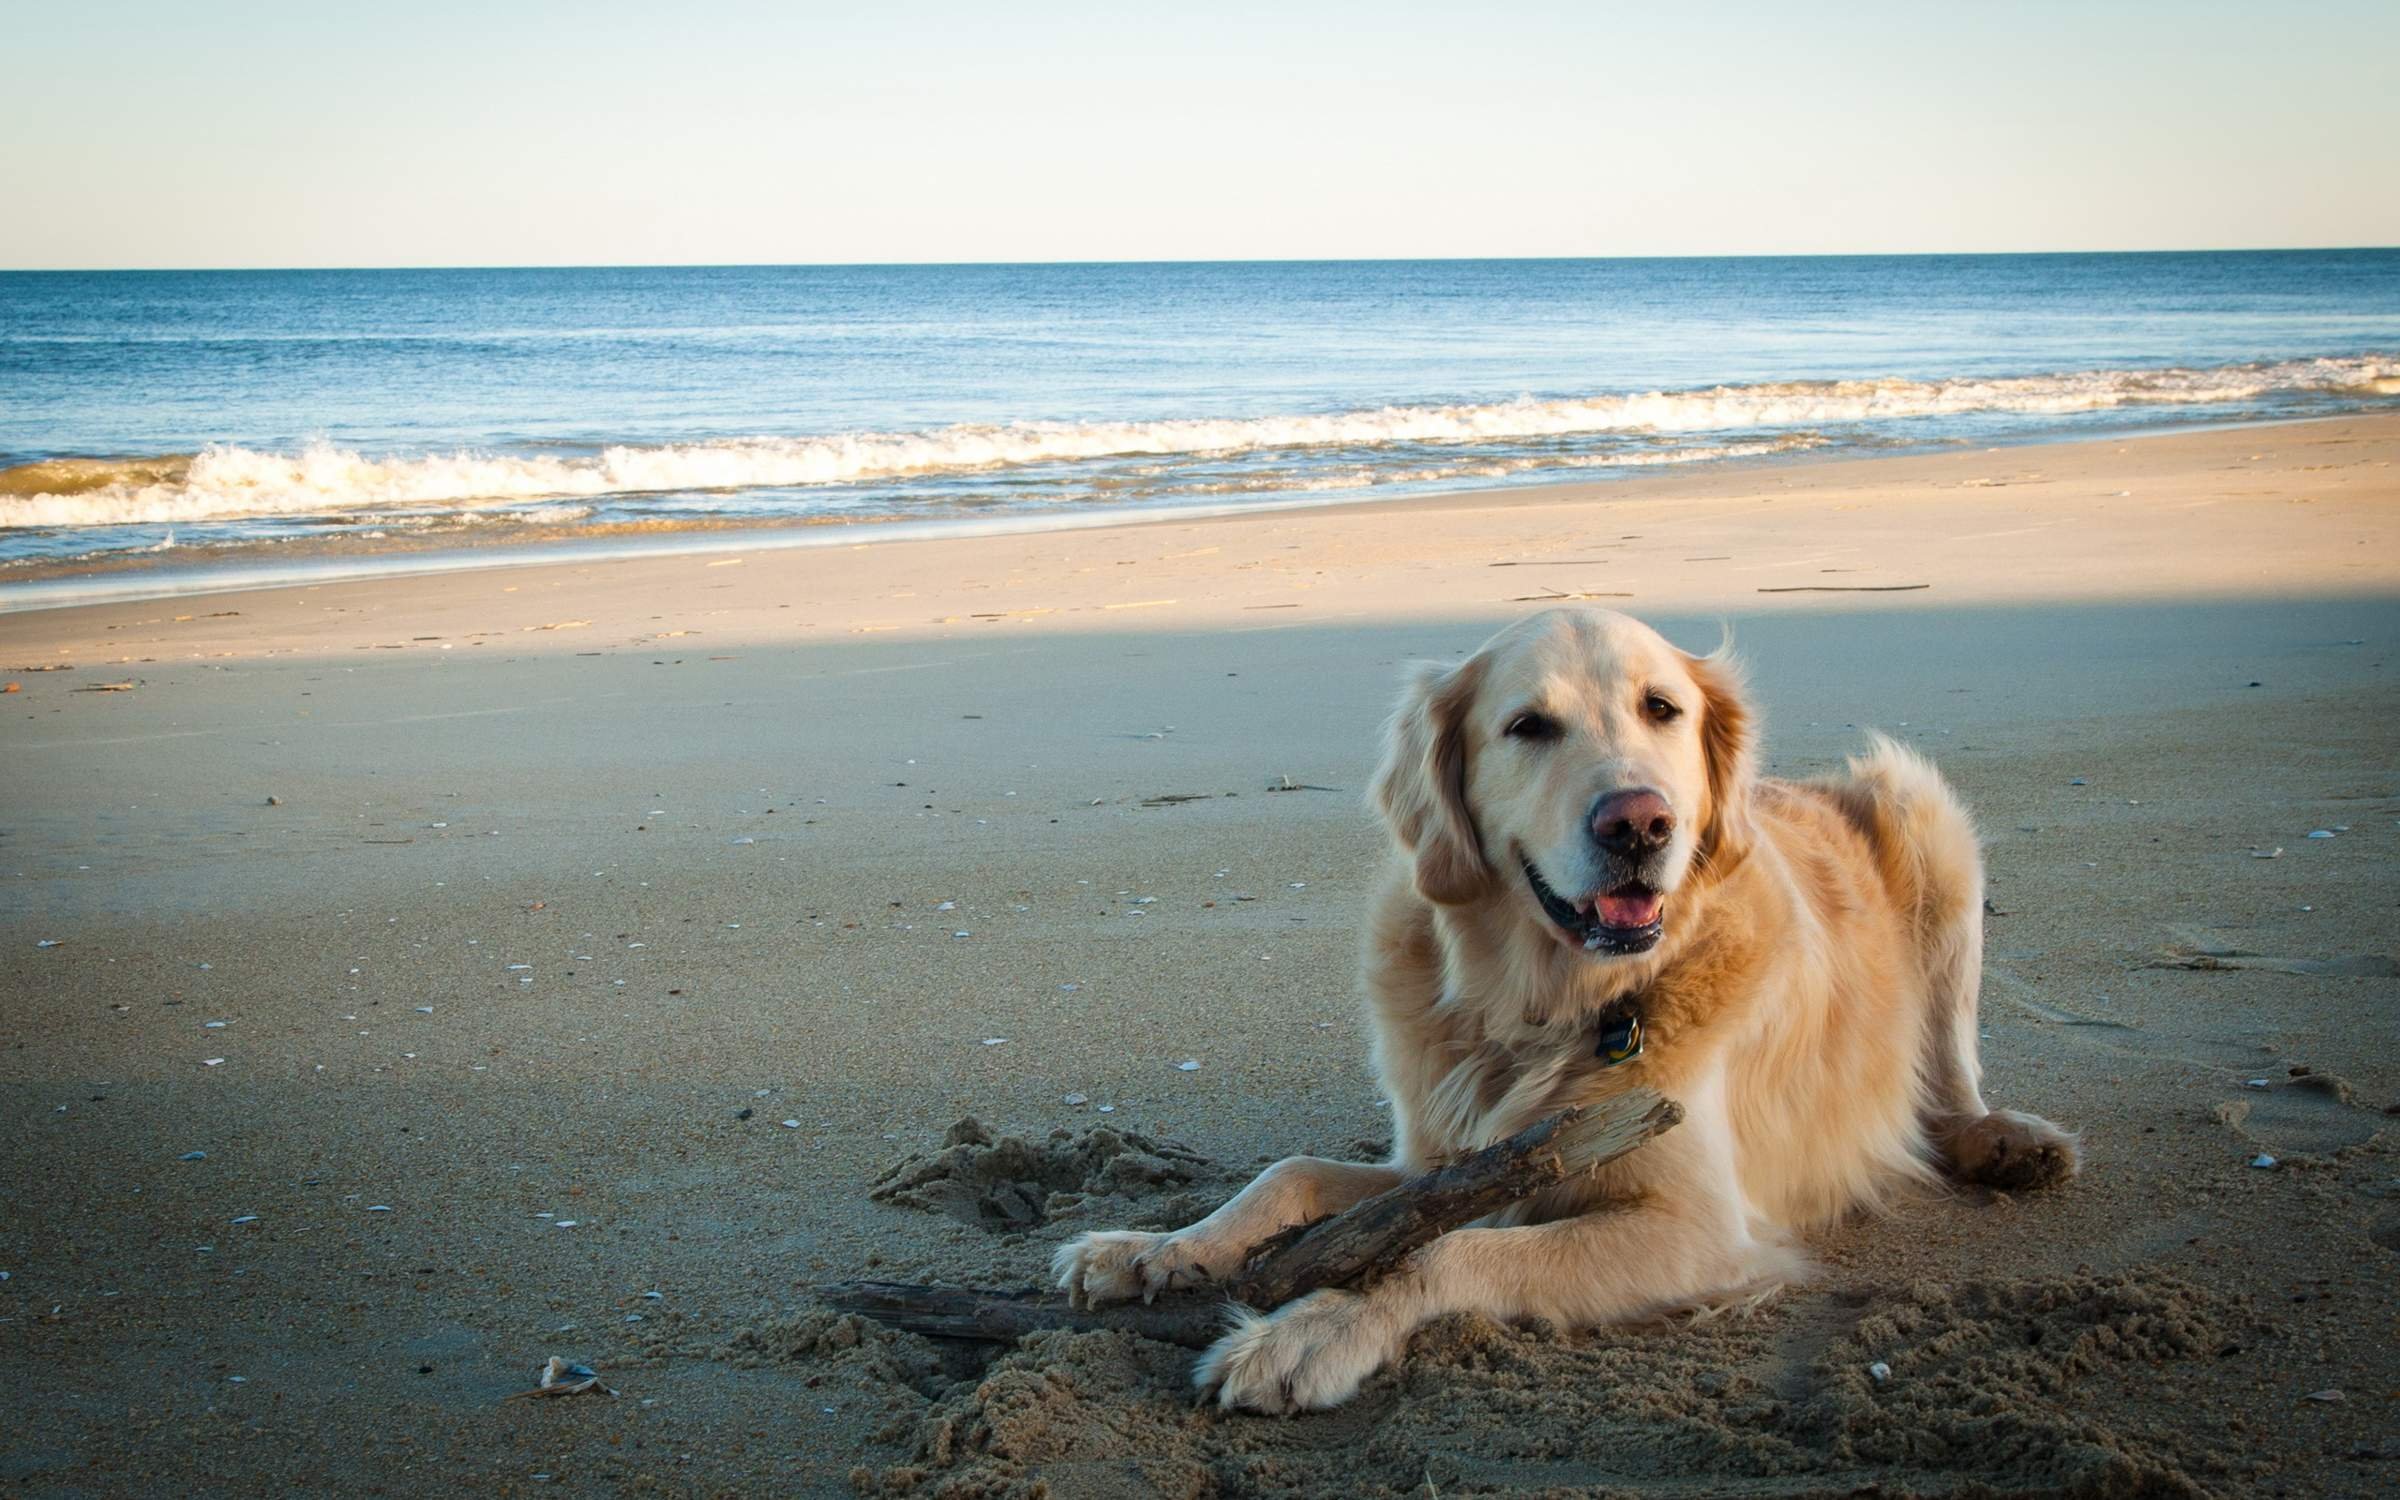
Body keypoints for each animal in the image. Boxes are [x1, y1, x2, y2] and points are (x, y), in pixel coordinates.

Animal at [1051, 602, 2083, 1411]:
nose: (1639, 823)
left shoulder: (1698, 1228)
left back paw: (2005, 1140)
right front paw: (1155, 1248)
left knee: (1948, 1071)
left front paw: (1309, 1333)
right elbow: (1290, 1175)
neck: (1549, 1006)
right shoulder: (1439, 1162)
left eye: (1662, 708)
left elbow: (1446, 1253)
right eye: (1528, 726)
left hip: (1925, 816)